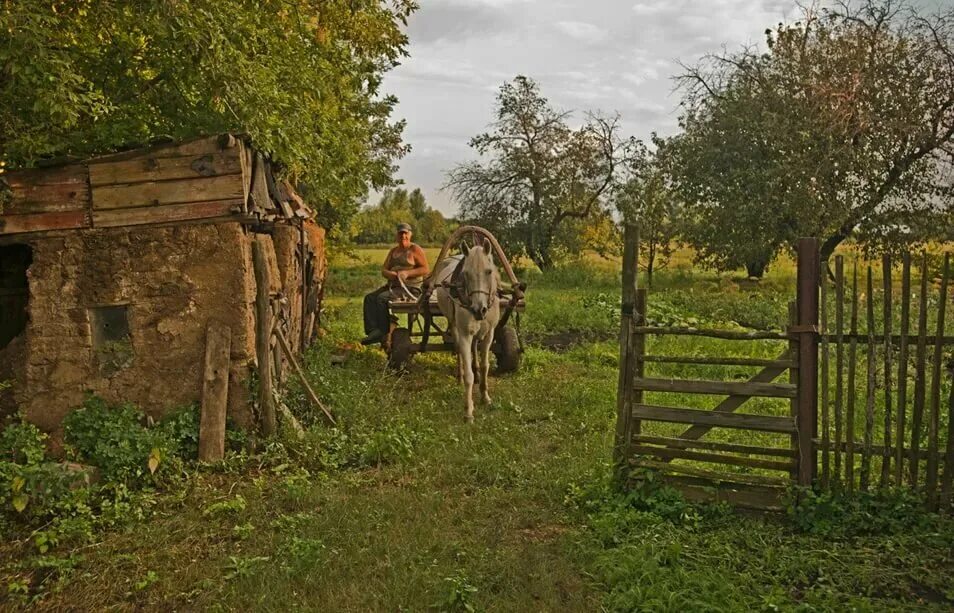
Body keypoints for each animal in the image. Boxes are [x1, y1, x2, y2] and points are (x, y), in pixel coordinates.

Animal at [436, 239, 502, 420]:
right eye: (465, 273)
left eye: (489, 271)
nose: (479, 310)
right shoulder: (465, 334)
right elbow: (468, 375)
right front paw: (468, 410)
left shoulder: (489, 333)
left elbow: (485, 365)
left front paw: (485, 396)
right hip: (454, 325)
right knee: (458, 348)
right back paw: (459, 376)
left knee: (474, 349)